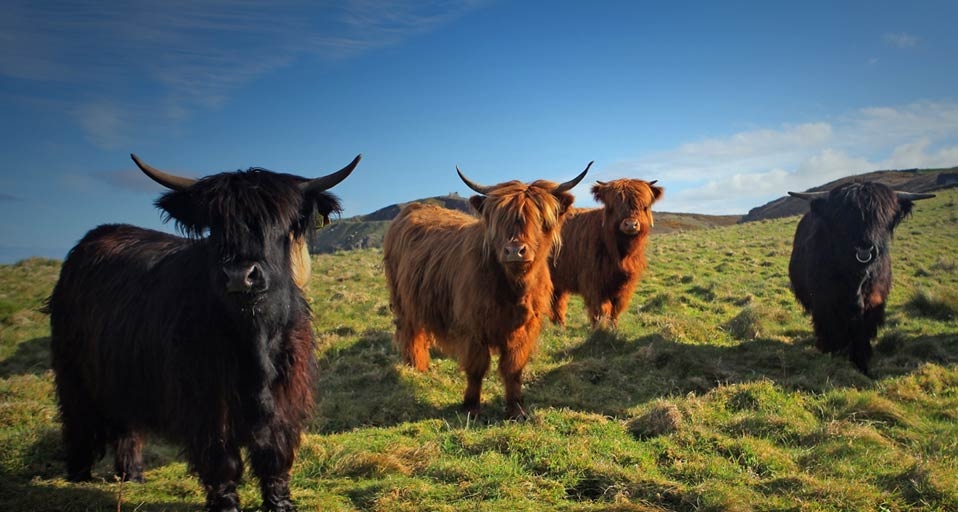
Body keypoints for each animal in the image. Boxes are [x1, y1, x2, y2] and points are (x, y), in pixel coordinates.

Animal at [45, 153, 361, 512]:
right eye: (216, 226)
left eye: (278, 224)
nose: (241, 275)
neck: (255, 343)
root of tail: (92, 239)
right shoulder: (205, 402)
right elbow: (222, 461)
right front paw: (226, 505)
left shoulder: (286, 398)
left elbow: (274, 455)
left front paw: (280, 503)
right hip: (74, 372)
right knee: (79, 422)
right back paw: (77, 477)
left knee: (127, 427)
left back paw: (133, 475)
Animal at [383, 163, 590, 419]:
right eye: (500, 219)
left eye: (539, 218)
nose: (514, 250)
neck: (513, 289)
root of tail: (413, 208)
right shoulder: (473, 328)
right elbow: (477, 367)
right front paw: (471, 407)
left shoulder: (524, 329)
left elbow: (513, 368)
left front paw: (516, 408)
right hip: (401, 298)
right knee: (410, 331)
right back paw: (416, 367)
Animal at [550, 178, 664, 329]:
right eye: (614, 205)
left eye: (643, 205)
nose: (630, 224)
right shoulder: (594, 282)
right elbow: (601, 309)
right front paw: (599, 329)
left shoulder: (625, 286)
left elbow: (615, 309)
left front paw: (613, 327)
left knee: (558, 299)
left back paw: (560, 324)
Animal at [787, 182, 934, 375]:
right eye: (844, 215)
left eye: (882, 215)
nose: (865, 244)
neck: (856, 275)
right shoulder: (825, 302)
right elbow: (831, 330)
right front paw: (833, 353)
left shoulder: (873, 303)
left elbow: (861, 334)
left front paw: (862, 364)